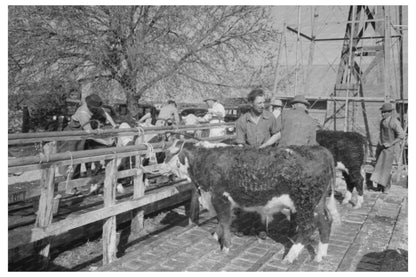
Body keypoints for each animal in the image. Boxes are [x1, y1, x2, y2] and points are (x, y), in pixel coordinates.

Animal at [164, 141, 340, 262]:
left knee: (308, 228)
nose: (161, 168)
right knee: (325, 223)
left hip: (305, 203)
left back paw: (290, 257)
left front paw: (225, 247)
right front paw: (216, 236)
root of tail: (321, 150)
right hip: (317, 204)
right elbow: (221, 221)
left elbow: (224, 221)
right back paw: (320, 256)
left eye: (166, 154)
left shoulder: (220, 198)